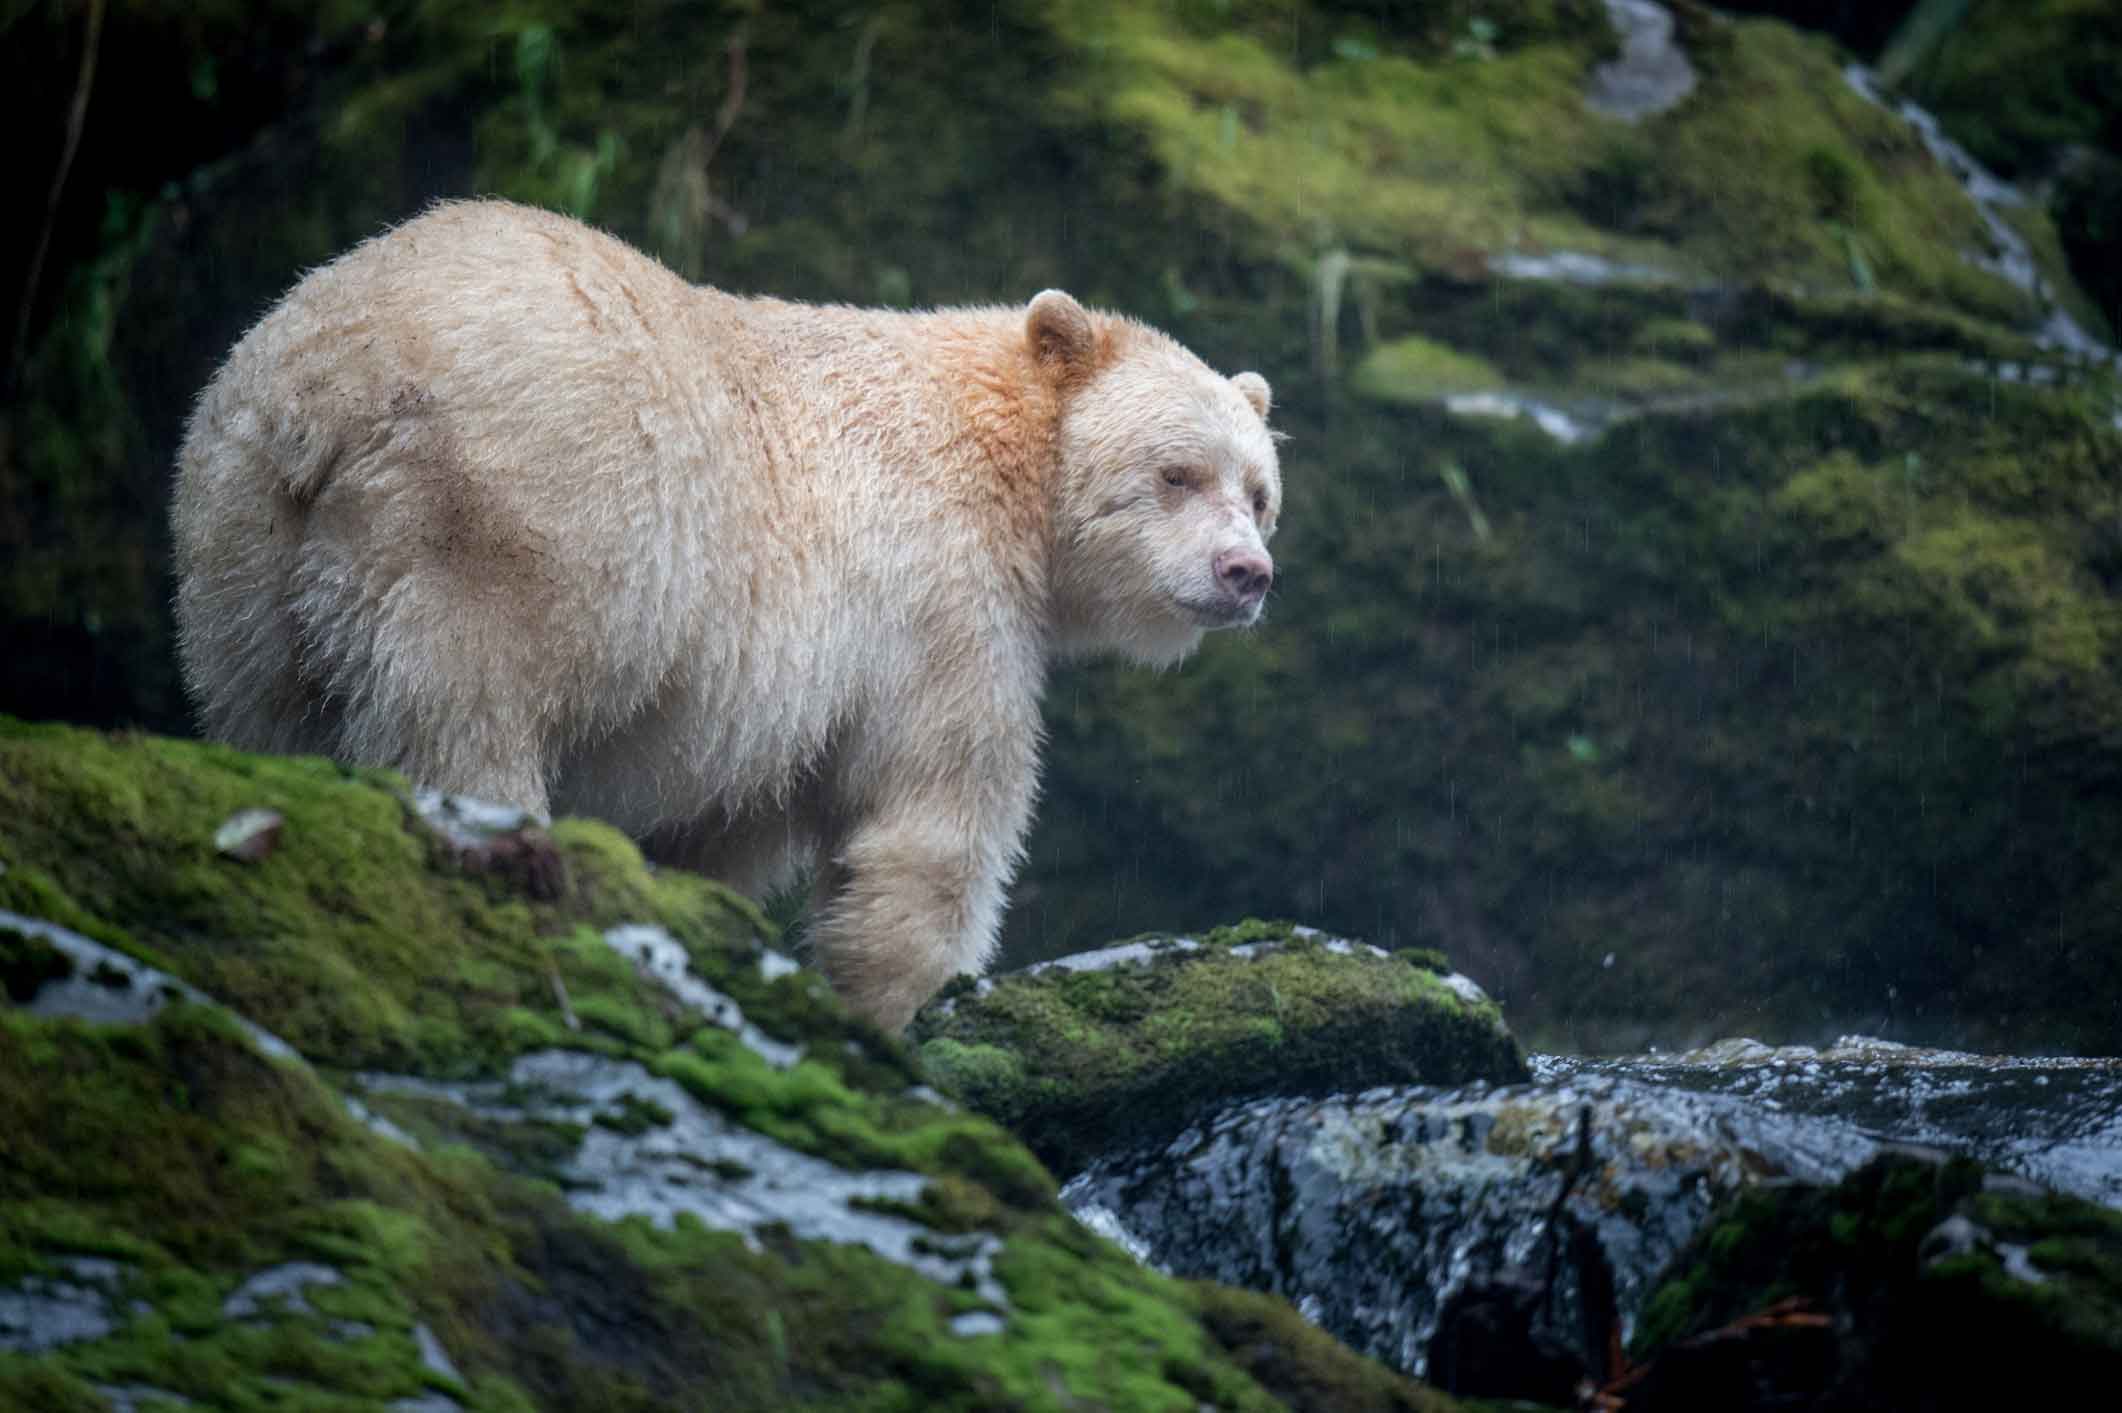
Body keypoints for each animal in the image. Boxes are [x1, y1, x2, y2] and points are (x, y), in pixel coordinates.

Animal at [174, 200, 1273, 1022]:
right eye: (1176, 473)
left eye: (1259, 493)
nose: (1246, 572)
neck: (1000, 444)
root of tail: (331, 379)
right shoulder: (935, 592)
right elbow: (930, 821)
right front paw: (911, 1002)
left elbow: (715, 830)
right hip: (492, 532)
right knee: (465, 719)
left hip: (246, 547)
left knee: (276, 710)